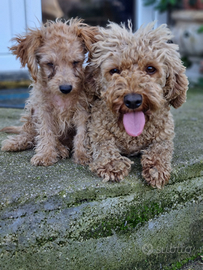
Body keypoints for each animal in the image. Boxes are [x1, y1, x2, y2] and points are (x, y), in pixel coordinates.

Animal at [0, 19, 97, 166]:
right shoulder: (43, 110)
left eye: (75, 62)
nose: (66, 88)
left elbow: (82, 133)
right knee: (30, 134)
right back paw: (18, 143)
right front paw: (46, 154)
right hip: (32, 111)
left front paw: (82, 154)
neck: (63, 98)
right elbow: (46, 132)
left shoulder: (82, 110)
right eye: (50, 64)